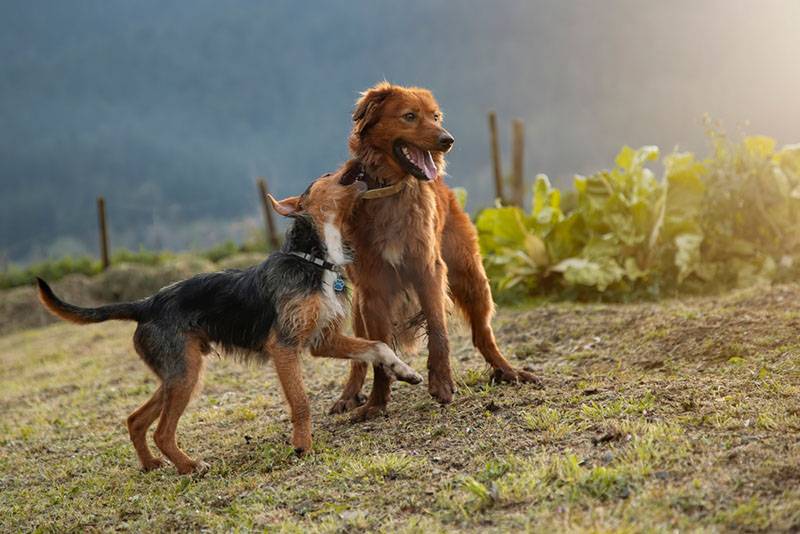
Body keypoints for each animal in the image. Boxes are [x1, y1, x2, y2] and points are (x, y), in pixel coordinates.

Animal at [36, 165, 424, 476]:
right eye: (328, 175)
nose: (355, 164)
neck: (314, 258)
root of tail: (146, 304)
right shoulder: (284, 347)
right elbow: (301, 401)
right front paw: (302, 445)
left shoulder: (322, 341)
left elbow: (378, 345)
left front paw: (405, 371)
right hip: (184, 375)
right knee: (162, 430)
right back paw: (190, 466)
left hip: (179, 371)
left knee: (135, 419)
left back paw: (150, 465)